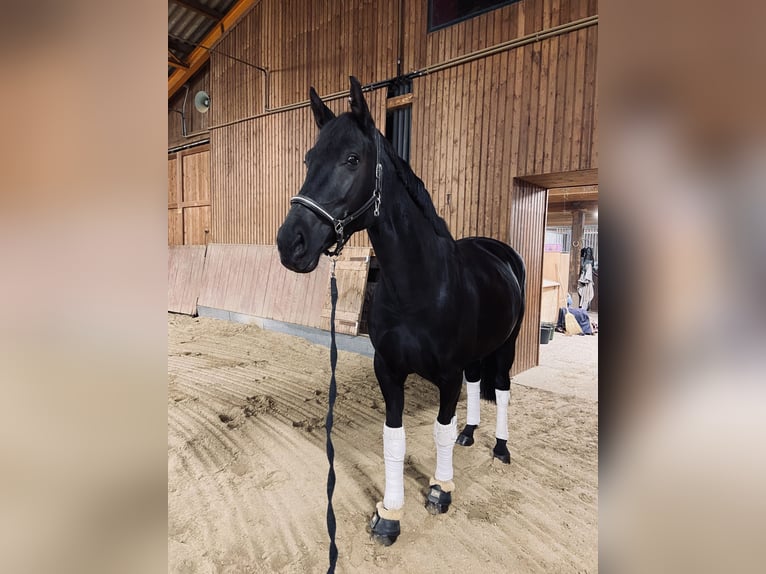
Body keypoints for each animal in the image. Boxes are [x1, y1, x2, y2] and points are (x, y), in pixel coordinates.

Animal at [278, 77, 528, 548]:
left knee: (502, 390)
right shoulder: (389, 370)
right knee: (476, 386)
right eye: (308, 159)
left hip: (507, 346)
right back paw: (471, 434)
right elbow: (393, 439)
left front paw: (441, 490)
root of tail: (501, 252)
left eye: (352, 159)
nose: (290, 243)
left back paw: (501, 447)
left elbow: (440, 430)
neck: (421, 287)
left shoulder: (446, 375)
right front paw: (390, 513)